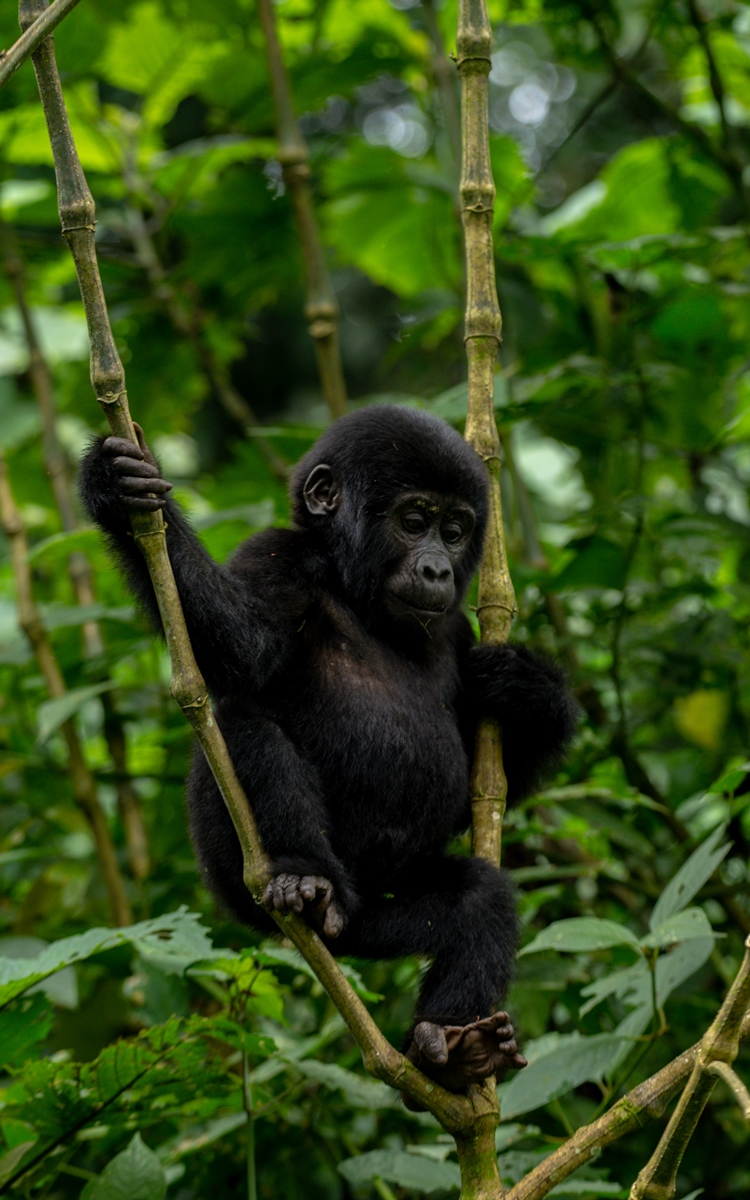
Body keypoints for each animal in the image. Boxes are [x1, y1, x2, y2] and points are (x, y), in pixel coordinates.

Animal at [79, 408, 576, 1094]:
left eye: (455, 531)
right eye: (414, 521)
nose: (438, 570)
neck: (357, 594)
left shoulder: (459, 629)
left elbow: (486, 784)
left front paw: (532, 691)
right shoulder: (276, 558)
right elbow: (239, 647)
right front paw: (116, 487)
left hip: (383, 916)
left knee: (478, 901)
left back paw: (455, 1051)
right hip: (243, 886)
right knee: (243, 722)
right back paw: (306, 878)